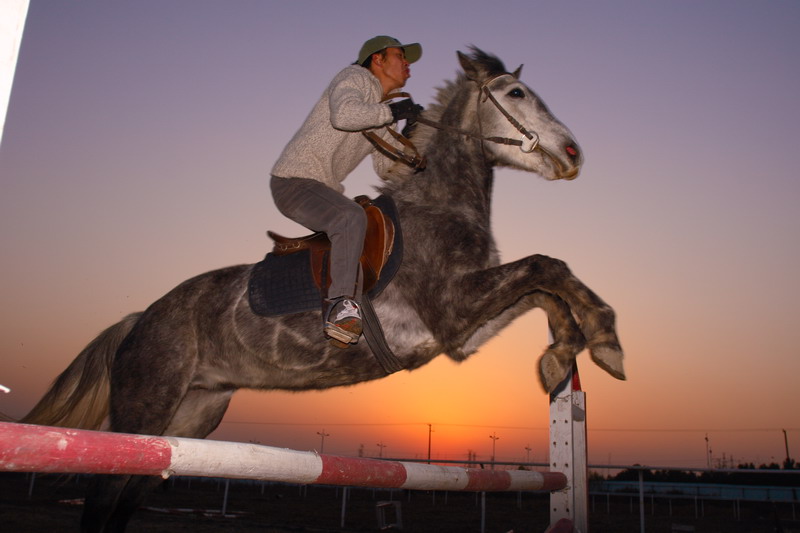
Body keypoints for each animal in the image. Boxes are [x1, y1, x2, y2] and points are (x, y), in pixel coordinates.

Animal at [18, 47, 624, 528]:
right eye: (516, 93)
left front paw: (565, 356)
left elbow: (544, 287)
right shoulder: (455, 310)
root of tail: (139, 319)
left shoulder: (464, 330)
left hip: (190, 420)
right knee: (103, 497)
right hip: (144, 414)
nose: (573, 155)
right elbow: (547, 266)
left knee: (127, 498)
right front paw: (606, 343)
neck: (441, 204)